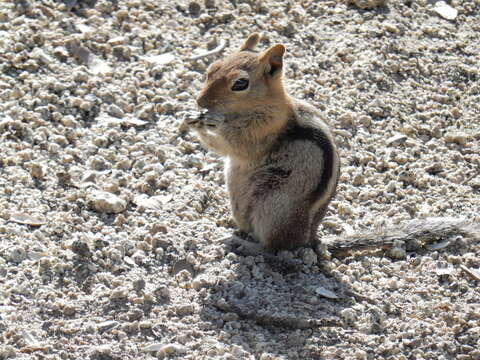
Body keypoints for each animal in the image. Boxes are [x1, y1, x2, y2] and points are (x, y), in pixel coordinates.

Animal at [186, 32, 478, 255]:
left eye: (240, 84)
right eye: (211, 69)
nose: (201, 101)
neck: (263, 105)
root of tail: (309, 237)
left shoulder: (265, 131)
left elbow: (236, 144)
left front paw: (212, 122)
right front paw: (191, 118)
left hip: (273, 210)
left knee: (275, 248)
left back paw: (243, 245)